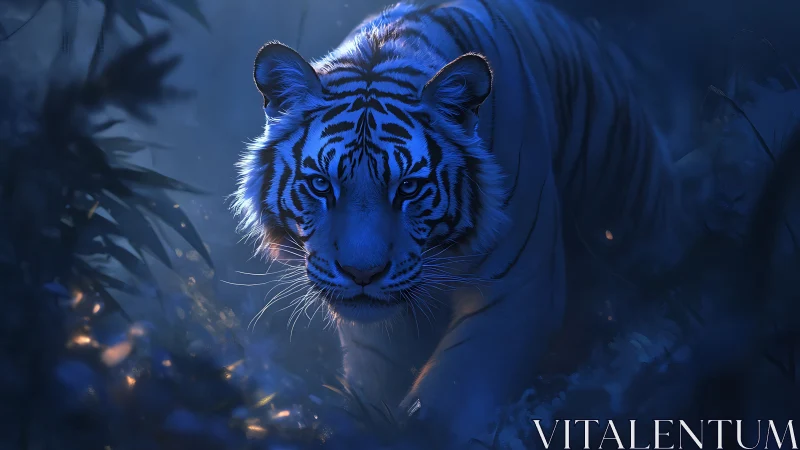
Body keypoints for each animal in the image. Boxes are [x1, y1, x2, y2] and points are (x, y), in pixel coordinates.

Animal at [232, 0, 702, 446]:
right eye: (321, 184)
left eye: (408, 187)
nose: (361, 273)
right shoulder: (377, 334)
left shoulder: (517, 292)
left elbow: (452, 396)